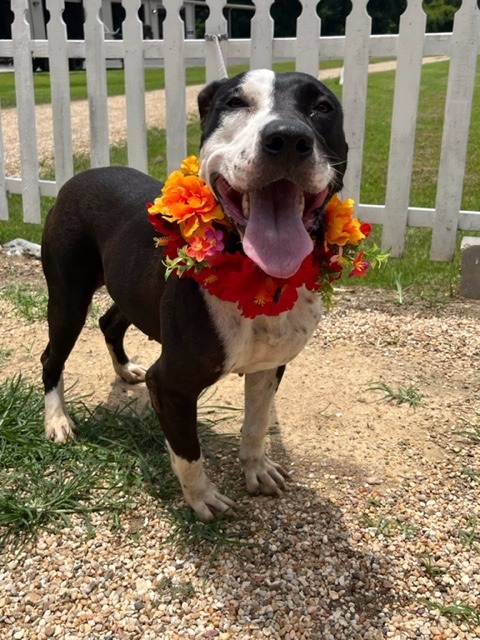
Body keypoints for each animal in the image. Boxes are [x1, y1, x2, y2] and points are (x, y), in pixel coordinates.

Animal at [41, 70, 346, 520]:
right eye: (235, 102)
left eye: (322, 107)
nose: (288, 138)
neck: (258, 272)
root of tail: (78, 177)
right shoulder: (171, 384)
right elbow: (188, 451)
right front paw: (201, 497)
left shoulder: (268, 366)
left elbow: (256, 425)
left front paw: (256, 469)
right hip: (68, 298)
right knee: (52, 356)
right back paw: (57, 419)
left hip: (131, 290)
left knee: (110, 321)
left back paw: (124, 370)